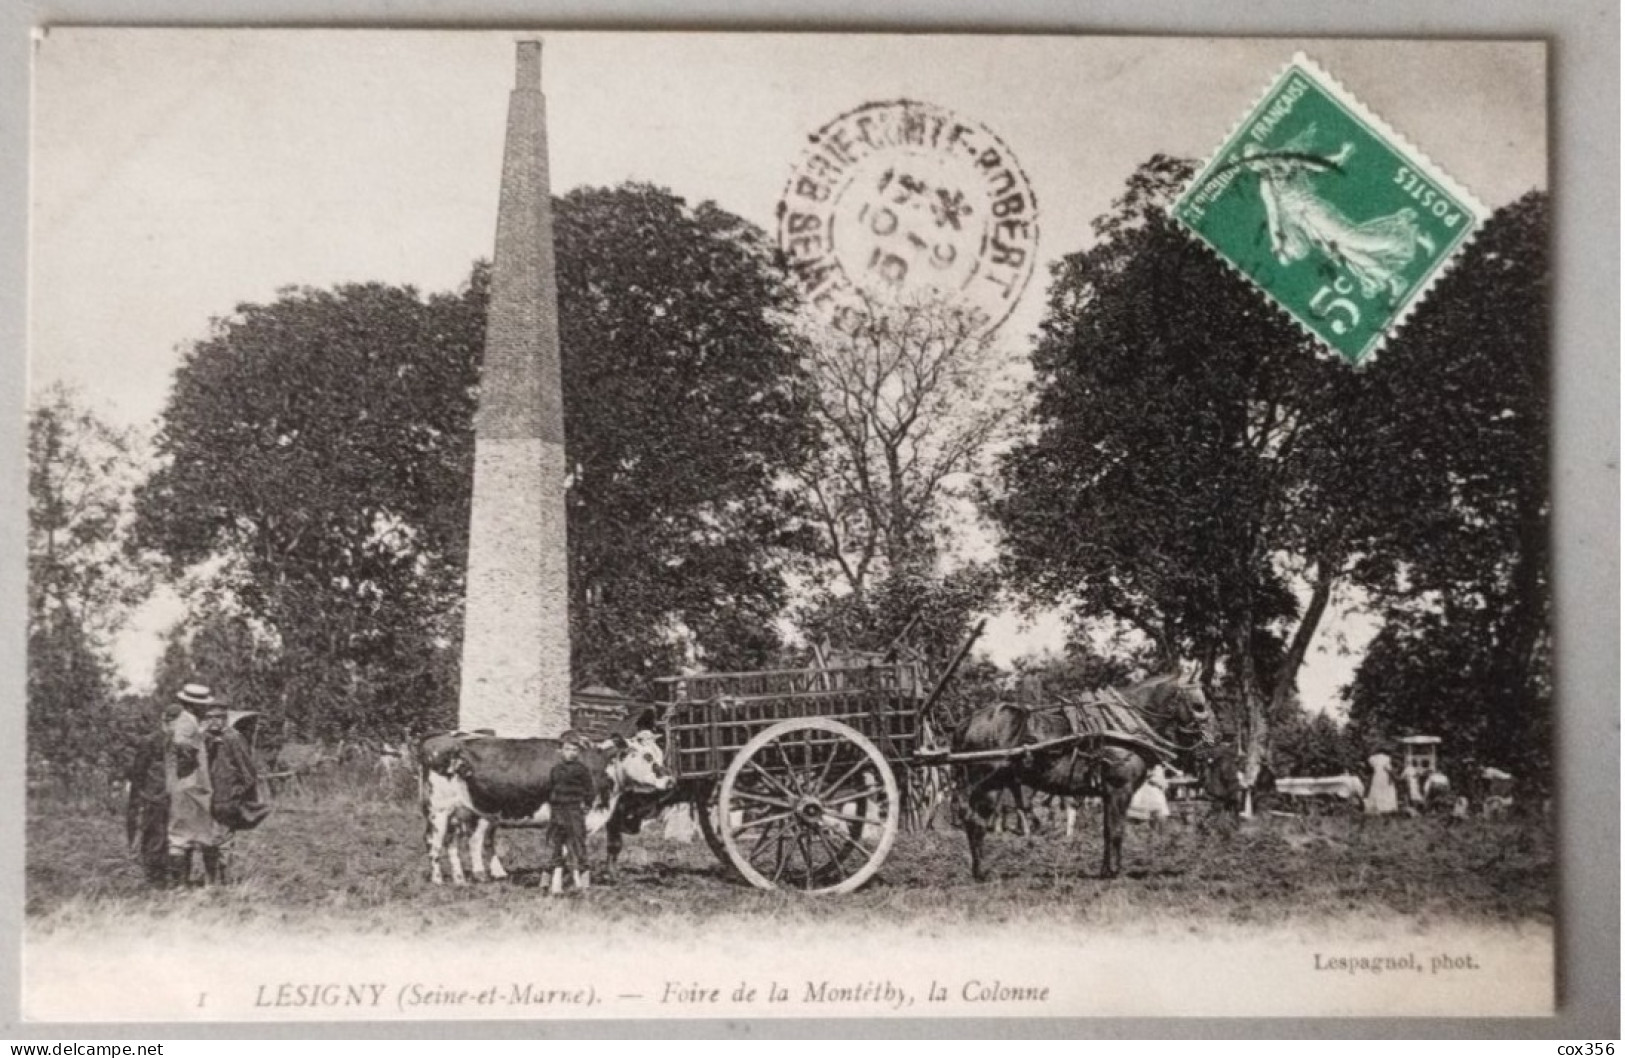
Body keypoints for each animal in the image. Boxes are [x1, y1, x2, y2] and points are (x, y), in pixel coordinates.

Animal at [422, 728, 676, 884]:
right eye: (647, 757)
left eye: (660, 756)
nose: (671, 780)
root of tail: (439, 738)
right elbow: (567, 850)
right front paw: (567, 880)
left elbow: (570, 850)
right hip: (439, 810)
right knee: (435, 843)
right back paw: (438, 880)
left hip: (465, 812)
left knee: (457, 843)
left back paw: (463, 879)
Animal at [949, 669, 1222, 884]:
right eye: (1199, 705)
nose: (1216, 740)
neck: (1123, 729)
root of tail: (969, 721)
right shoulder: (1119, 789)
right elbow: (1117, 830)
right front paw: (1114, 872)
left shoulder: (1108, 792)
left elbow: (1108, 830)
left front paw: (1105, 870)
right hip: (988, 786)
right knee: (976, 823)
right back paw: (982, 873)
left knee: (973, 822)